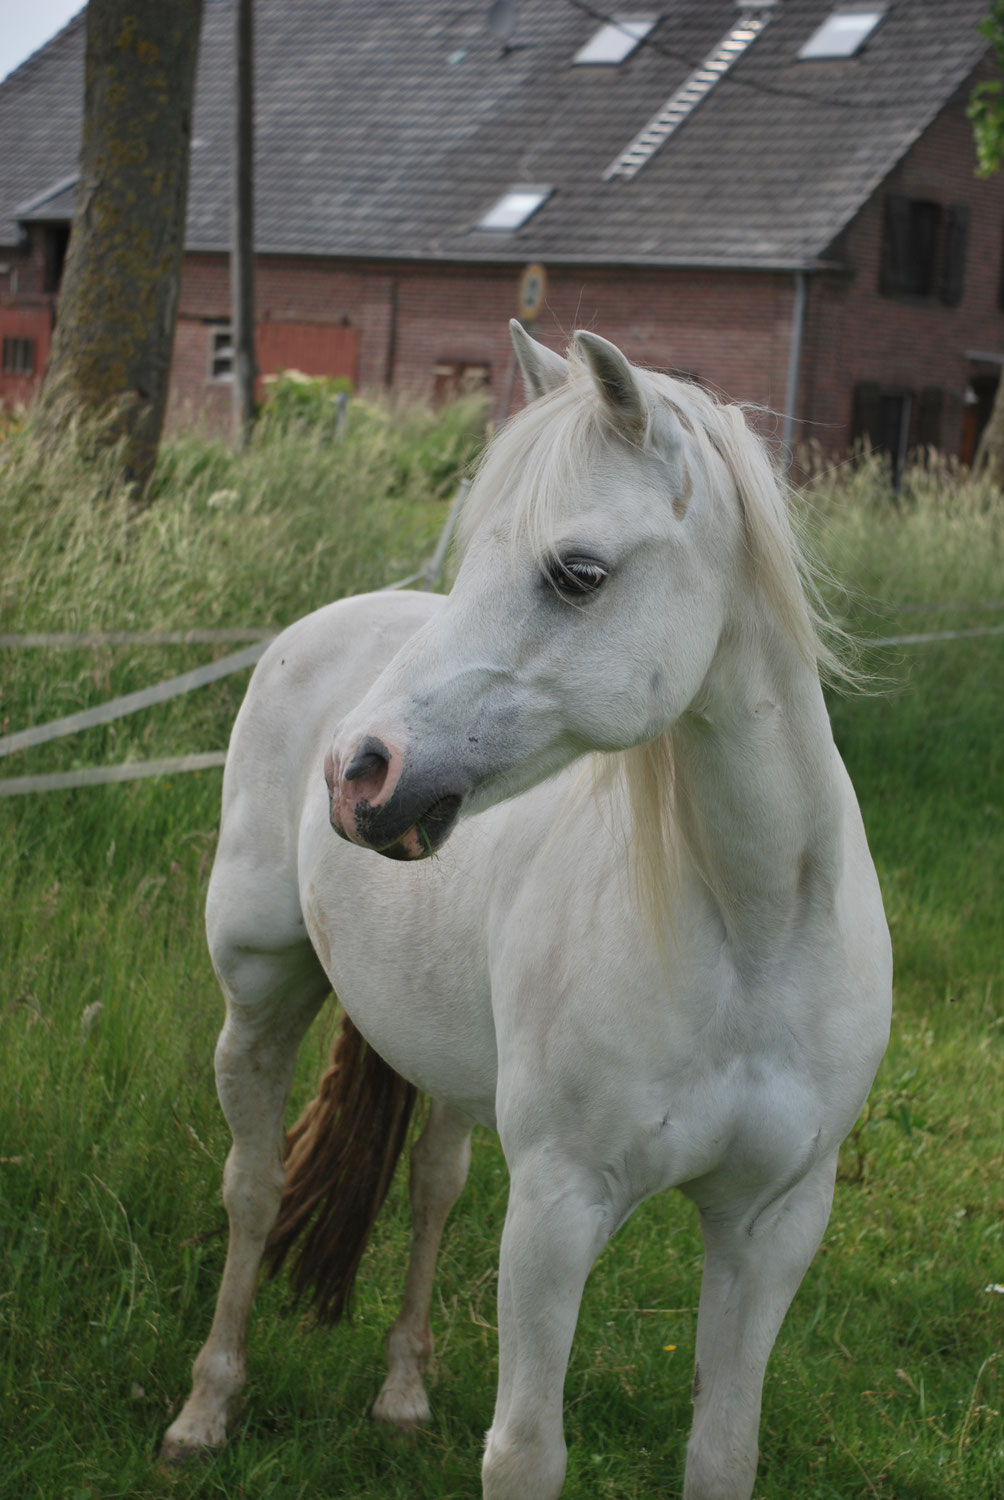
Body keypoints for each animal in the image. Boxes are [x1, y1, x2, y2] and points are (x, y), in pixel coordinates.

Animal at [160, 325, 888, 1500]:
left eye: (576, 573)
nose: (358, 775)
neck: (754, 933)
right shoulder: (558, 1209)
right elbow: (525, 1452)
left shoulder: (770, 1224)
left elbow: (721, 1451)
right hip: (260, 996)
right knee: (254, 1190)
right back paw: (205, 1408)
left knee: (432, 1186)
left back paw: (401, 1394)